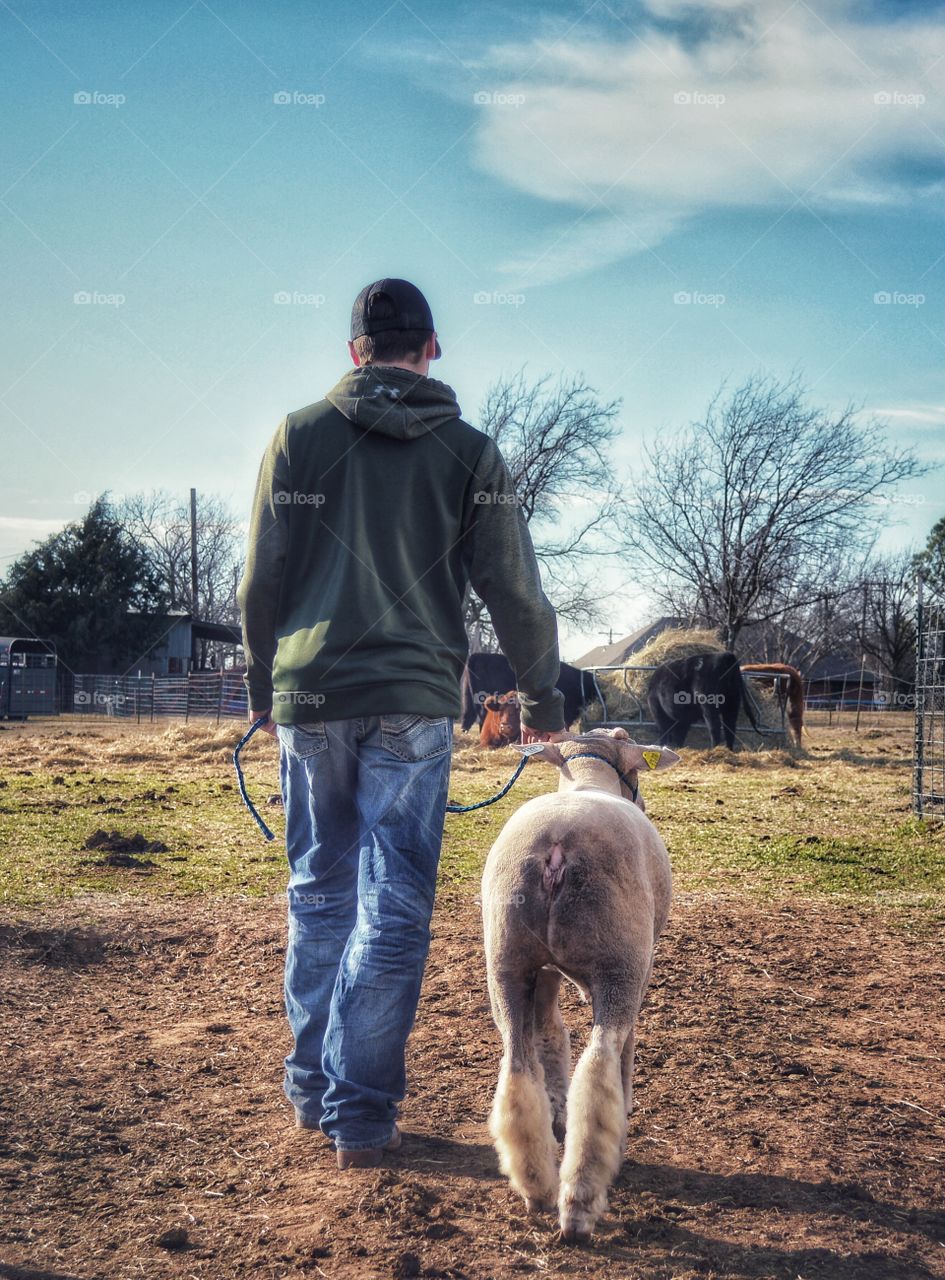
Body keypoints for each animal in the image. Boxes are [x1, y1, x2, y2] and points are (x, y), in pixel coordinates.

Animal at [478, 732, 676, 1239]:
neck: (587, 781)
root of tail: (556, 848)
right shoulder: (639, 969)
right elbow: (626, 1047)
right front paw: (626, 1106)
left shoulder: (545, 972)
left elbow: (550, 1033)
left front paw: (556, 1105)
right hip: (618, 965)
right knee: (600, 1064)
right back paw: (580, 1203)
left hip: (506, 961)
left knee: (517, 1063)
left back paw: (536, 1185)